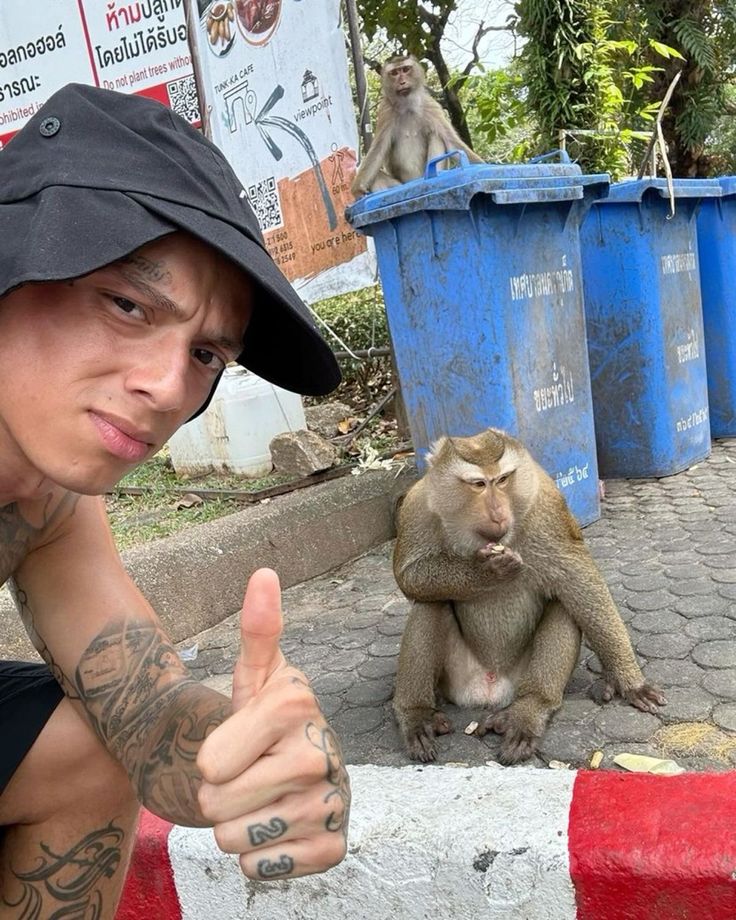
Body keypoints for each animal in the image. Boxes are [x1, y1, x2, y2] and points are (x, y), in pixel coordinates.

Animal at [350, 53, 484, 196]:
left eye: (405, 69)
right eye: (394, 73)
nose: (402, 82)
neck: (407, 106)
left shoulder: (431, 107)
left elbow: (451, 142)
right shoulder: (386, 110)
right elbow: (378, 150)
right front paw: (357, 191)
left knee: (436, 135)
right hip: (399, 185)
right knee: (376, 177)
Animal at [392, 428, 668, 764]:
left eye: (503, 479)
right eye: (479, 484)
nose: (498, 513)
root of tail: (490, 691)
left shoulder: (546, 502)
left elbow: (579, 579)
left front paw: (628, 680)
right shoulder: (417, 506)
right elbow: (409, 577)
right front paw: (486, 572)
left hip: (518, 678)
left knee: (564, 604)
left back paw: (529, 709)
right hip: (454, 680)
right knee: (430, 603)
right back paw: (416, 714)